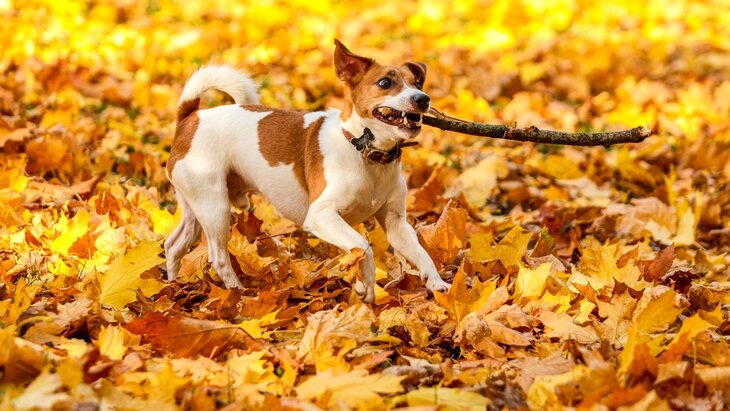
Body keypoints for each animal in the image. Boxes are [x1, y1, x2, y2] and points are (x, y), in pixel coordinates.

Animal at [164, 39, 450, 302]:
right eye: (385, 83)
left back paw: (172, 285)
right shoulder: (321, 215)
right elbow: (363, 246)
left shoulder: (395, 224)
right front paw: (367, 285)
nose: (422, 99)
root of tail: (190, 117)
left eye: (418, 83)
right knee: (218, 256)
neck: (364, 151)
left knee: (174, 244)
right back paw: (239, 293)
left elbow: (420, 252)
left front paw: (437, 284)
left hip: (195, 207)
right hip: (215, 207)